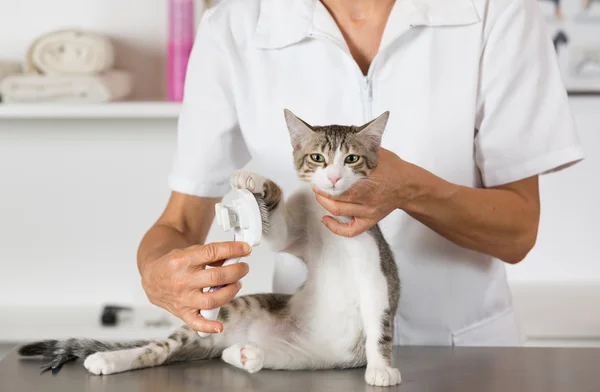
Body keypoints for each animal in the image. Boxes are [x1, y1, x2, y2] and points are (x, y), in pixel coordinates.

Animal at [17, 108, 404, 388]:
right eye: (318, 159)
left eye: (351, 159)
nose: (335, 177)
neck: (329, 215)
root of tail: (227, 336)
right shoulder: (296, 231)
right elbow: (277, 232)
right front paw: (256, 181)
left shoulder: (374, 266)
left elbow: (380, 320)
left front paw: (381, 368)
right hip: (232, 309)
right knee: (158, 351)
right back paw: (110, 359)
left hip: (303, 357)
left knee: (244, 355)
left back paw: (246, 355)